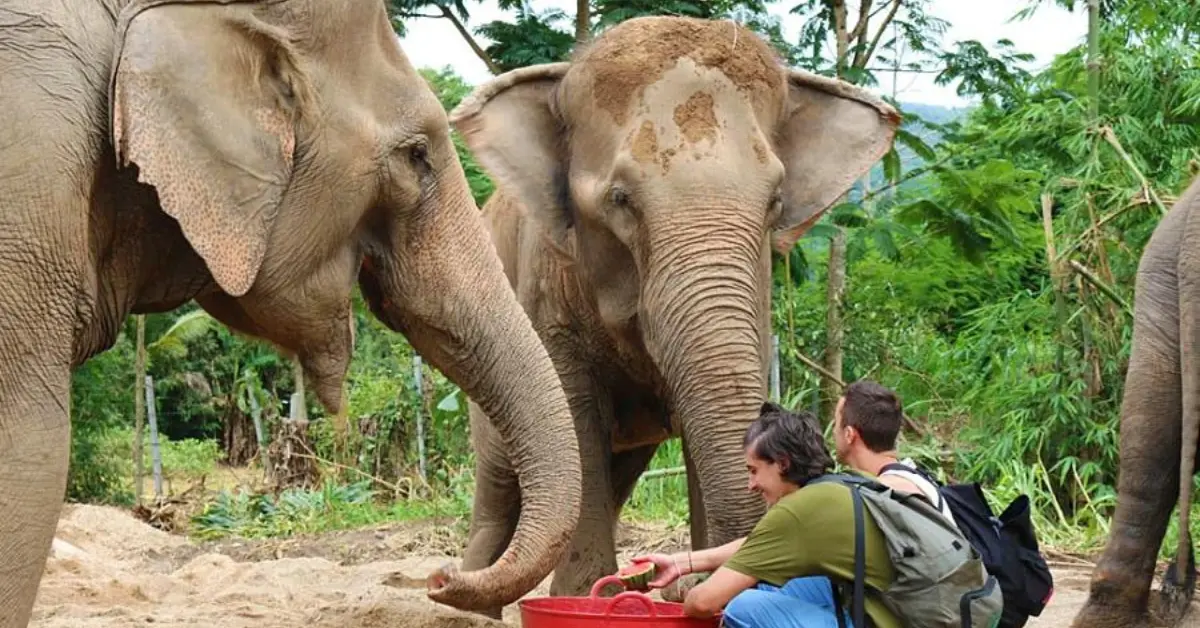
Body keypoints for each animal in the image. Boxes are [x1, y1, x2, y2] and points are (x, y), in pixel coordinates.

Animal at [441, 15, 902, 614]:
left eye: (775, 201)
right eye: (620, 200)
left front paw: (679, 589)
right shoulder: (545, 286)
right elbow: (577, 418)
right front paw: (585, 595)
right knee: (499, 483)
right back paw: (469, 601)